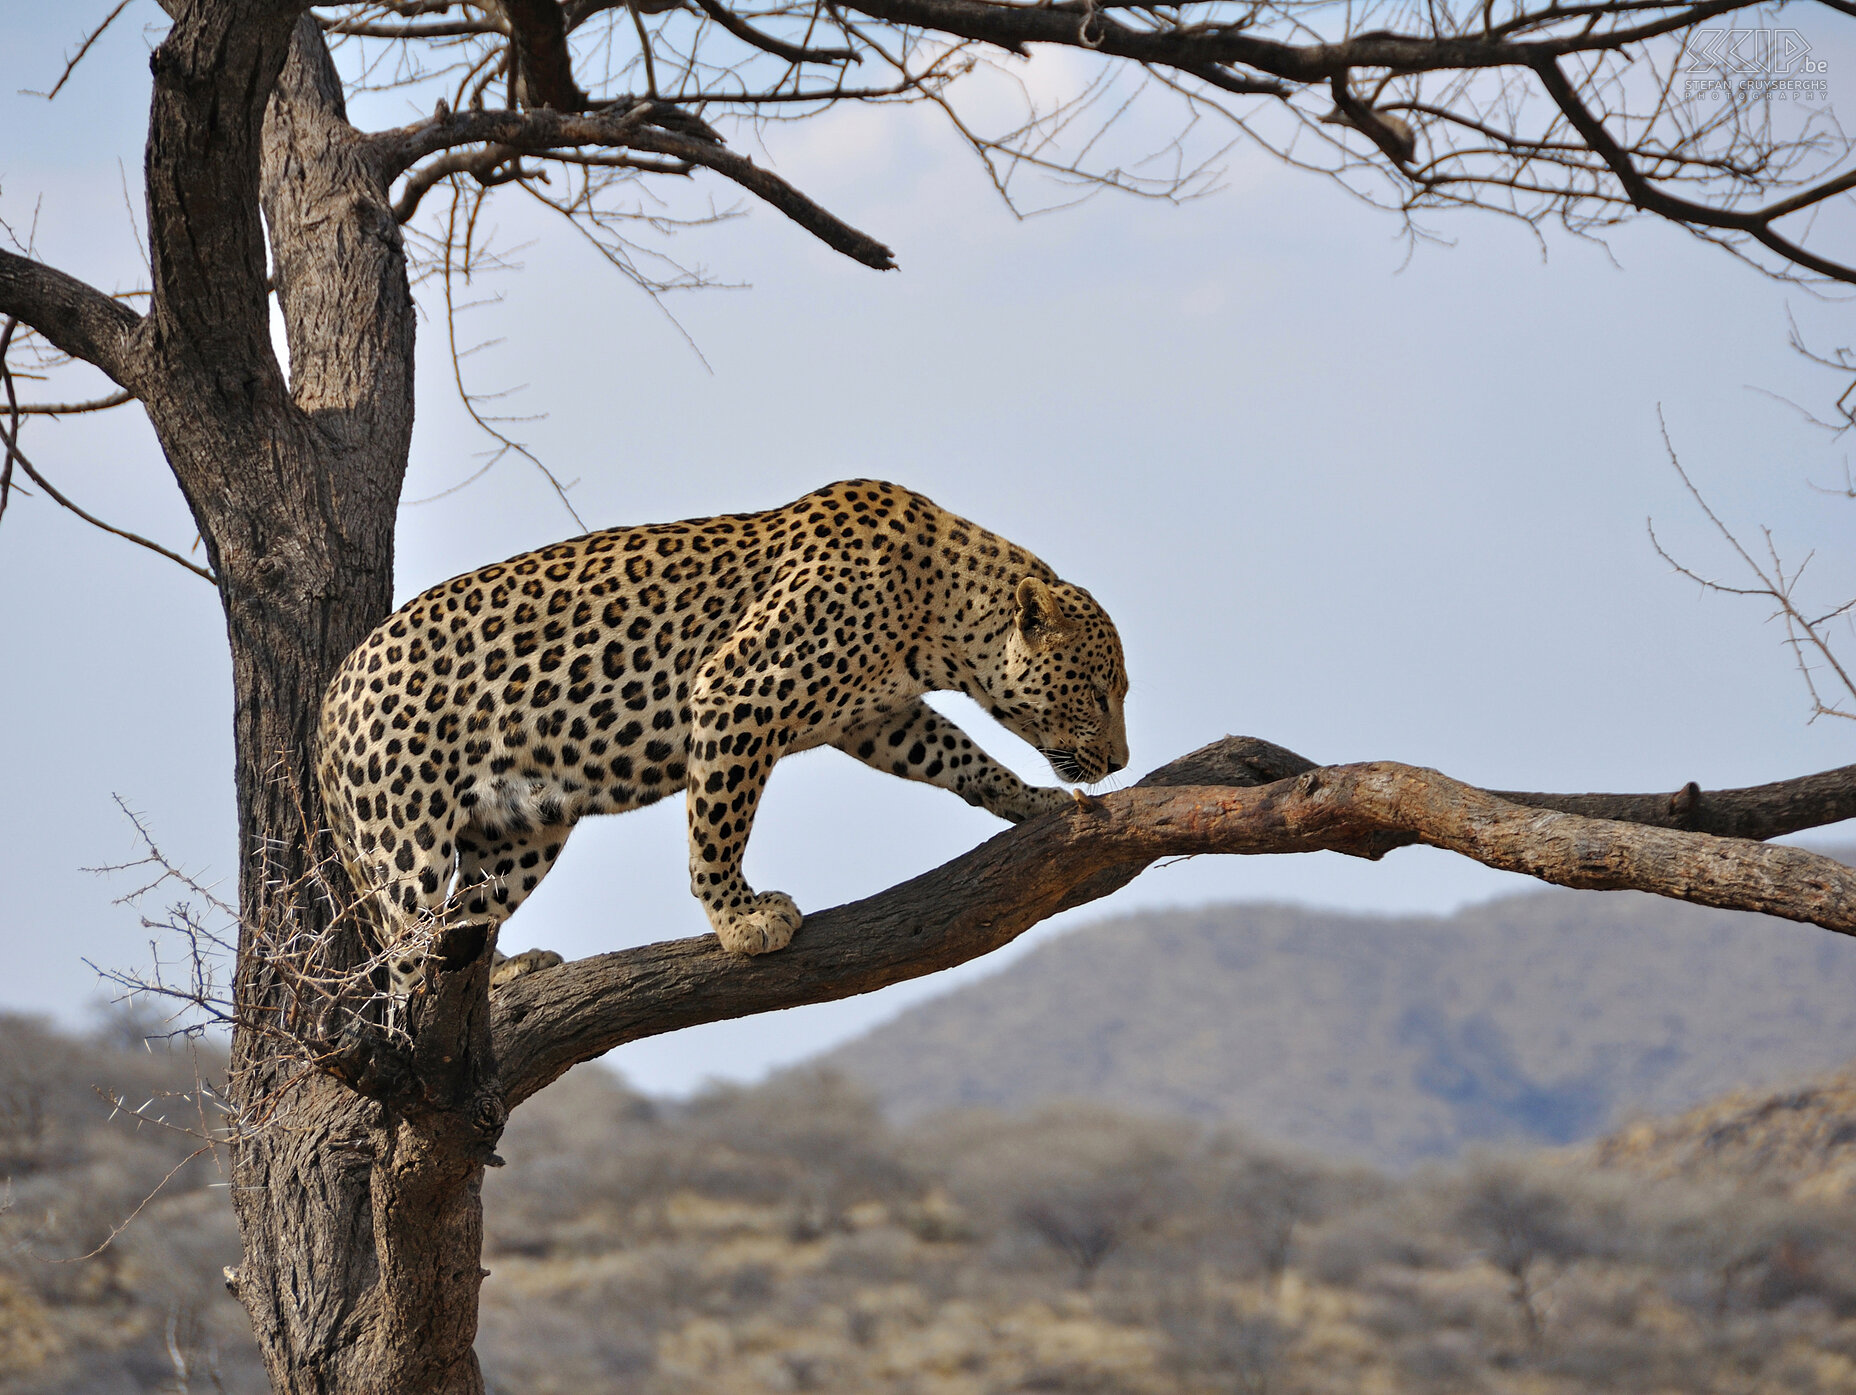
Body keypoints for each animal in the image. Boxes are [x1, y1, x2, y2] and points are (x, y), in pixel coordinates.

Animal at [317, 478, 1128, 994]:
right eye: (1099, 692)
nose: (1121, 760)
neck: (938, 611)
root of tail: (329, 698)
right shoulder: (740, 691)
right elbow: (718, 824)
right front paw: (740, 918)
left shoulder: (880, 718)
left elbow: (964, 758)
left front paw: (1033, 800)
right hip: (405, 841)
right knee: (404, 958)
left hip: (520, 832)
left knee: (467, 917)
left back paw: (502, 973)